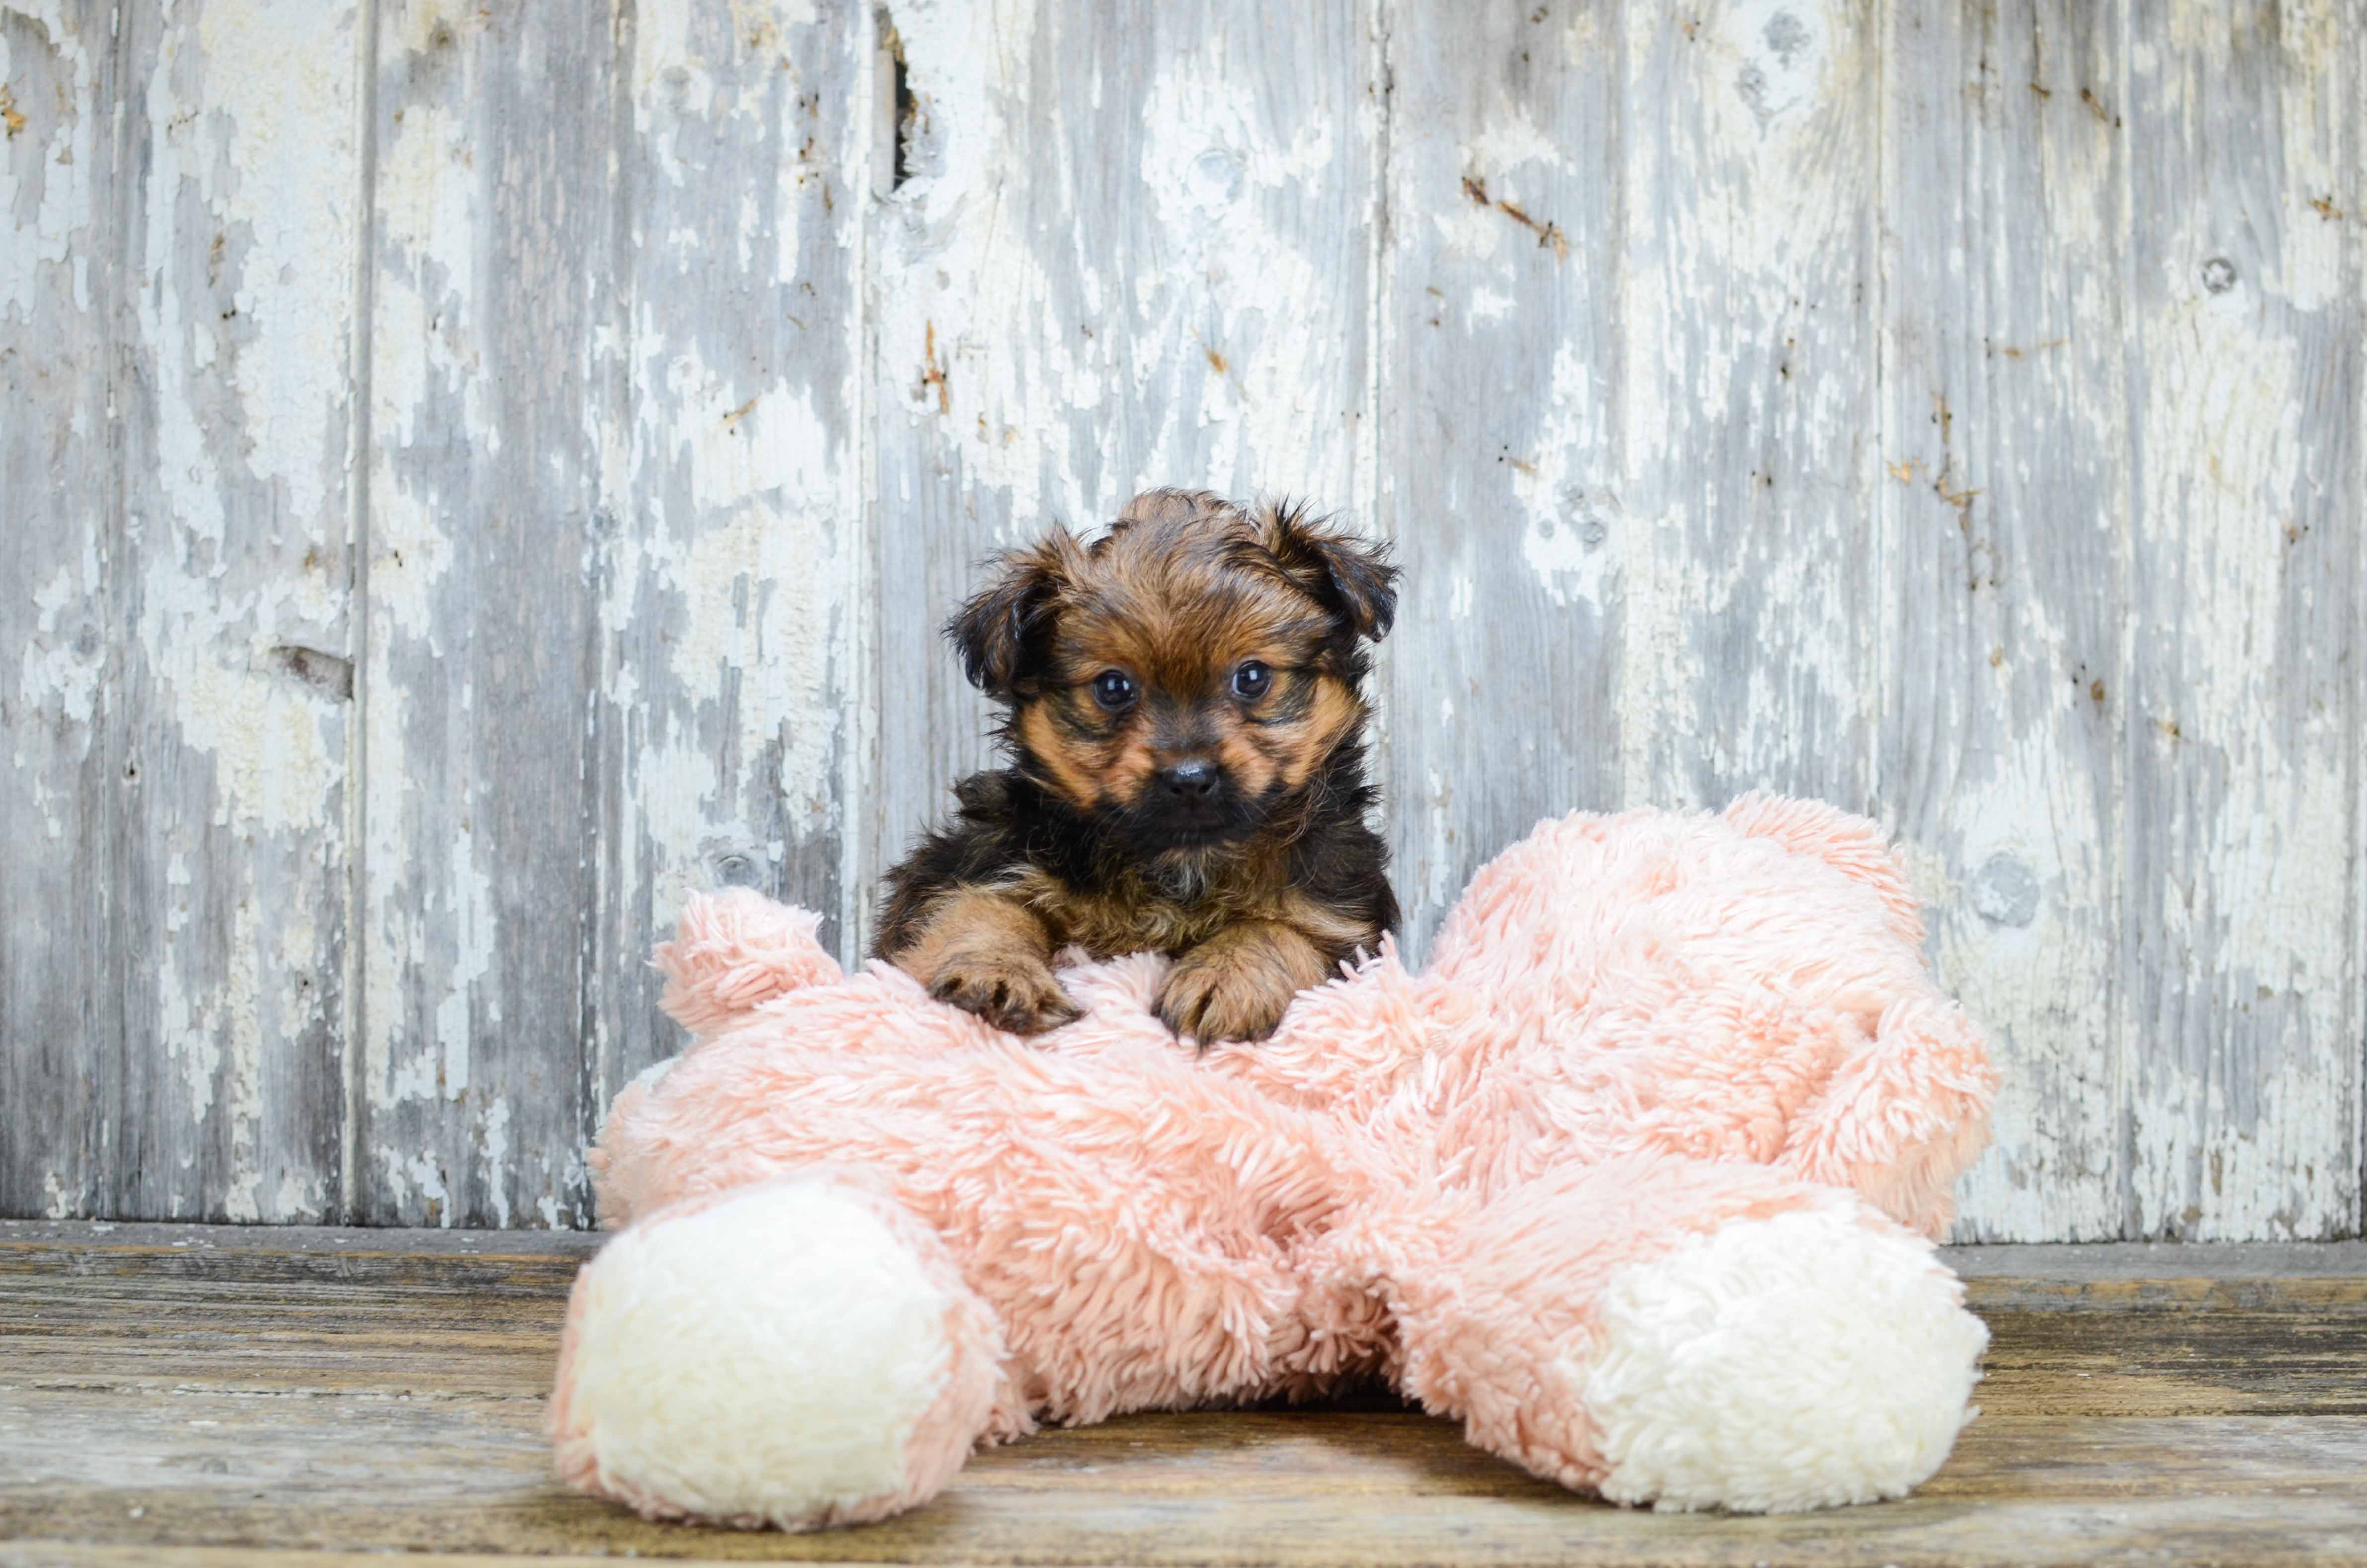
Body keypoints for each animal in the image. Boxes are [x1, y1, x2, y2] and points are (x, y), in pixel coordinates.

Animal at [876, 488, 1391, 1042]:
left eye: (1252, 677)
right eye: (1112, 687)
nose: (1189, 778)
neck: (1180, 860)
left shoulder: (1344, 919)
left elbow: (1275, 928)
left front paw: (1228, 974)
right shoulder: (970, 862)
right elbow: (979, 908)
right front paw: (997, 971)